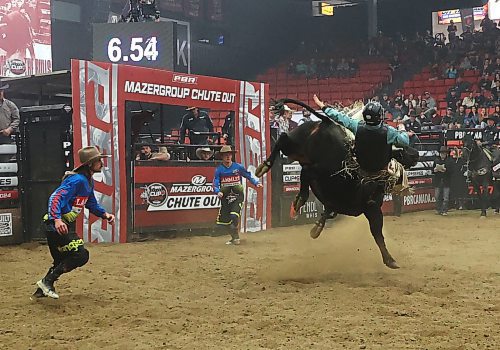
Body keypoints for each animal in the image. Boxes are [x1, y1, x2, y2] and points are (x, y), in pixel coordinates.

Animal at [256, 98, 416, 268]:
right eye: (402, 149)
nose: (416, 154)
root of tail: (327, 123)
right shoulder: (371, 209)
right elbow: (377, 233)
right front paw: (389, 259)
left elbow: (328, 212)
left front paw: (316, 228)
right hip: (310, 163)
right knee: (300, 166)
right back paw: (273, 174)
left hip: (297, 148)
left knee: (283, 139)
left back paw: (267, 169)